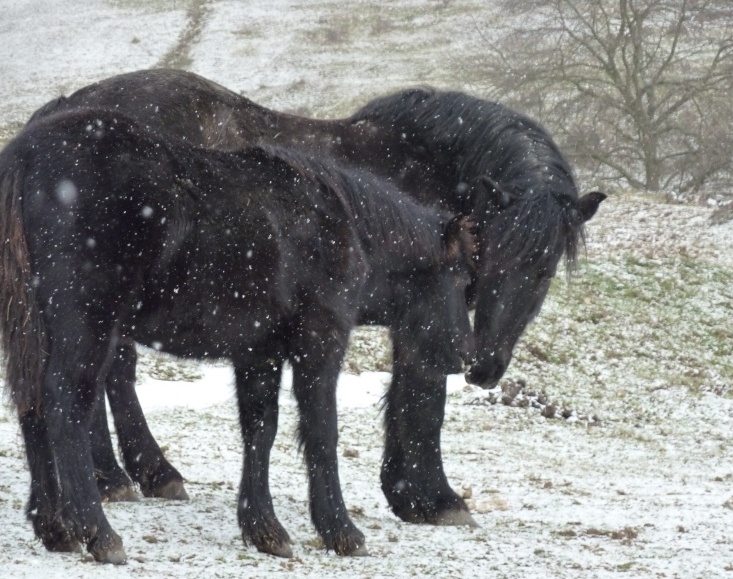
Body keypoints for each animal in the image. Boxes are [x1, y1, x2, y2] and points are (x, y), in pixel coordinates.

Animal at [0, 107, 474, 560]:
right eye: (460, 280)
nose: (464, 358)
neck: (340, 225)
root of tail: (24, 156)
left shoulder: (258, 351)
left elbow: (260, 430)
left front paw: (265, 529)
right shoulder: (320, 342)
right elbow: (321, 432)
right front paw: (341, 531)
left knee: (34, 408)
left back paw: (55, 529)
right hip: (85, 326)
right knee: (65, 404)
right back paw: (99, 532)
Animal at [25, 68, 604, 532]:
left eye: (544, 269)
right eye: (490, 258)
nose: (485, 368)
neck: (431, 170)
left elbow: (406, 396)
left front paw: (406, 495)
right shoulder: (425, 320)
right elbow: (424, 399)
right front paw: (437, 499)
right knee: (109, 376)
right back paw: (134, 475)